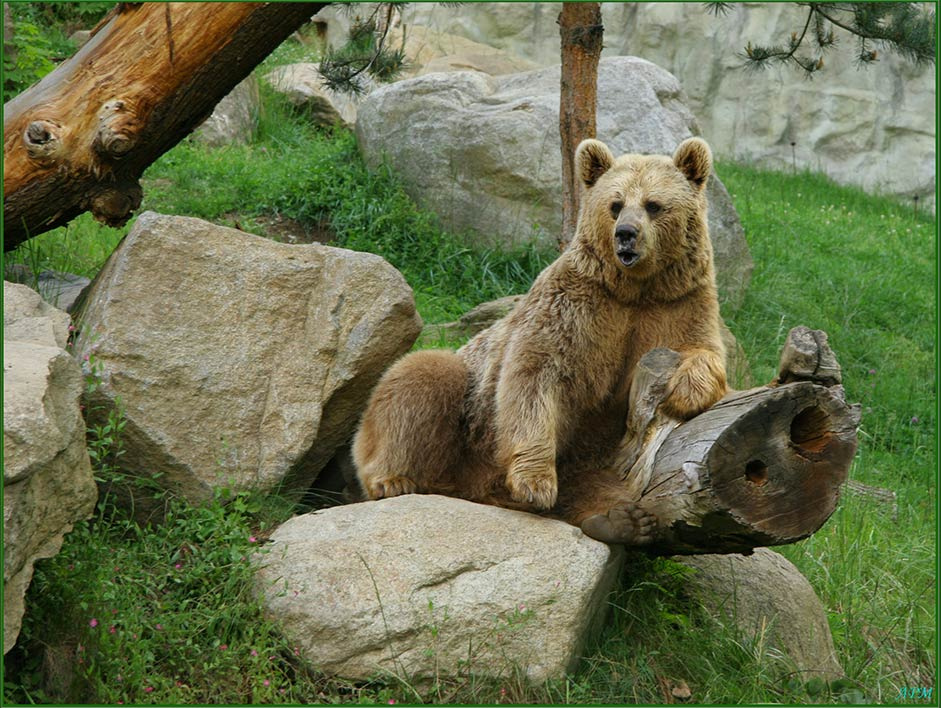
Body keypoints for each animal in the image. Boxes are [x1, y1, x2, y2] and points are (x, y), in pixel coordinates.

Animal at [352, 137, 728, 545]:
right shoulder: (577, 306)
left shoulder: (677, 304)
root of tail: (469, 489)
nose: (626, 234)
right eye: (615, 204)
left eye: (653, 204)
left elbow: (706, 353)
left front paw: (685, 392)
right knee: (422, 379)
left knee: (596, 479)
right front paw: (535, 483)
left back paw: (622, 518)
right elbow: (535, 375)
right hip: (468, 420)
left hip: (591, 449)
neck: (633, 289)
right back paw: (392, 479)